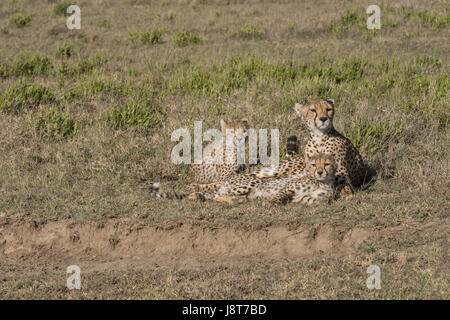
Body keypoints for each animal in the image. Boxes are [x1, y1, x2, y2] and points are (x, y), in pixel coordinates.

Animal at [149, 152, 336, 205]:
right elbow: (280, 195)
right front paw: (271, 202)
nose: (320, 172)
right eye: (314, 165)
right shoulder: (288, 187)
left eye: (326, 164)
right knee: (219, 195)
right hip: (252, 182)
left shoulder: (308, 199)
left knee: (216, 196)